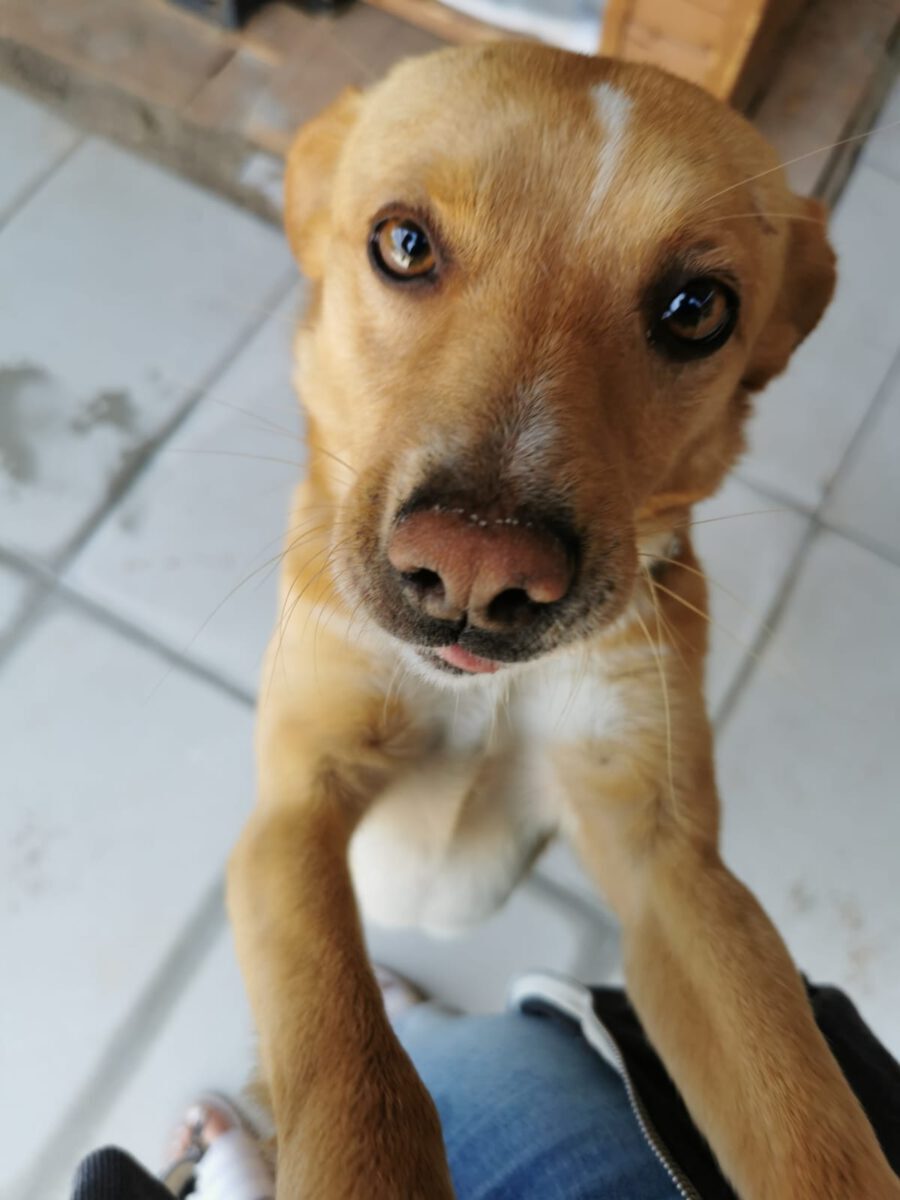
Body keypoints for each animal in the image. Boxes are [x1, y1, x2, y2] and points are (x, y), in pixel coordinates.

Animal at [227, 42, 900, 1198]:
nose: (474, 570)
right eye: (404, 244)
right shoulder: (295, 809)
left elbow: (797, 1093)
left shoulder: (669, 864)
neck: (490, 696)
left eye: (696, 308)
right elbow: (350, 1056)